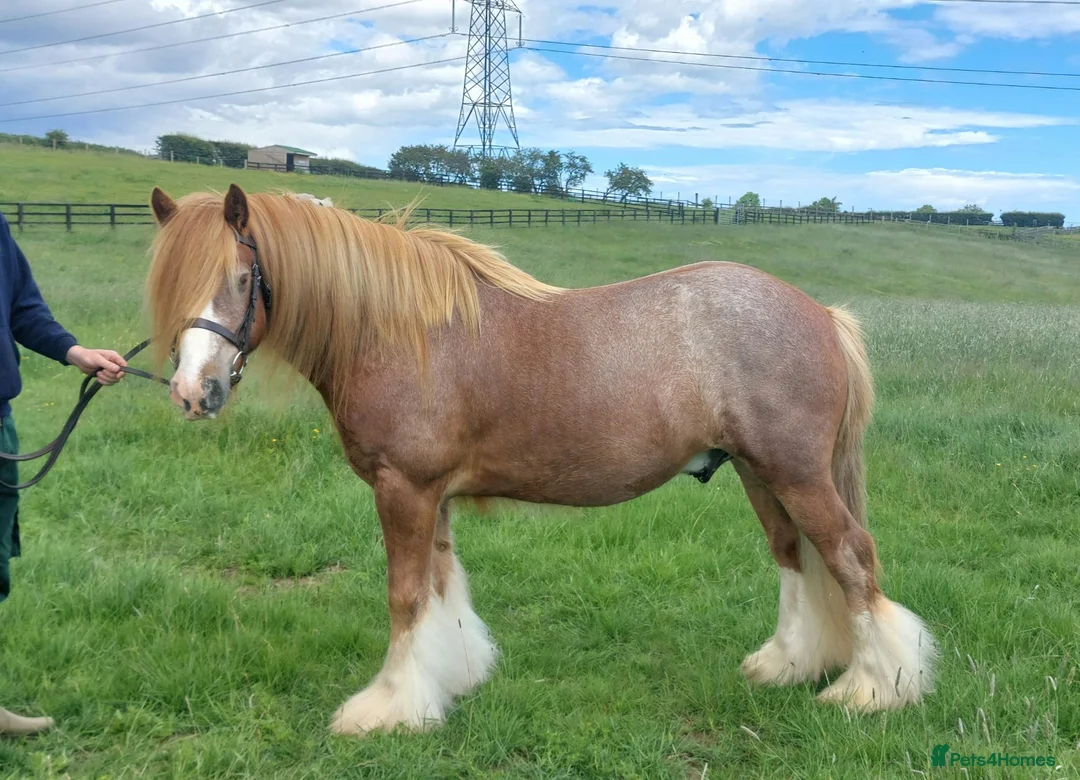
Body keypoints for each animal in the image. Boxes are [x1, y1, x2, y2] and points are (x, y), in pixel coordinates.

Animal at [144, 183, 937, 735]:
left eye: (241, 278)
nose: (192, 391)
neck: (400, 332)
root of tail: (820, 315)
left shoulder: (404, 490)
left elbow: (404, 597)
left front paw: (388, 709)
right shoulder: (431, 497)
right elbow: (441, 591)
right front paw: (454, 678)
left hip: (794, 473)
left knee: (850, 556)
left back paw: (873, 689)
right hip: (758, 472)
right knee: (794, 556)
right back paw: (786, 665)